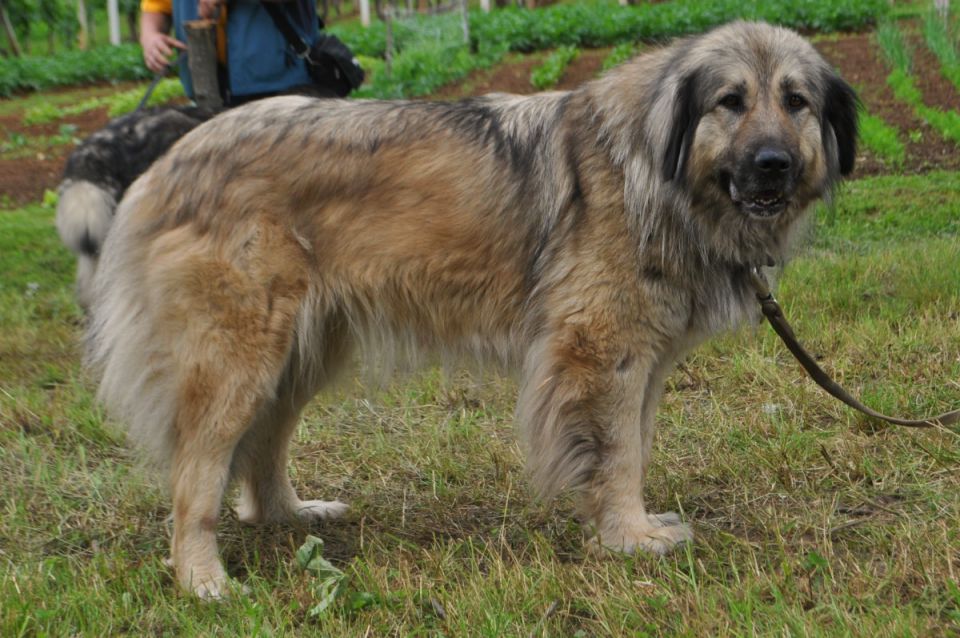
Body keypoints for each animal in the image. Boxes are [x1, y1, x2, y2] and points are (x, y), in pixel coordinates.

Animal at [88, 21, 856, 600]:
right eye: (730, 100)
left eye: (796, 101)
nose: (773, 163)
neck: (654, 170)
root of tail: (165, 162)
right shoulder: (598, 351)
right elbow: (617, 455)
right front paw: (629, 538)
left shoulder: (639, 363)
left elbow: (631, 448)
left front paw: (625, 527)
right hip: (237, 357)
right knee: (197, 471)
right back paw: (202, 579)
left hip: (303, 350)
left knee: (263, 445)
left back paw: (289, 514)